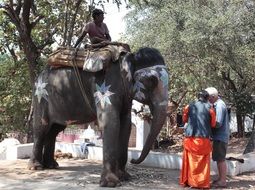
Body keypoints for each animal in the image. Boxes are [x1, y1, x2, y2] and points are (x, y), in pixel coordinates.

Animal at [28, 46, 169, 187]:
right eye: (151, 81)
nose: (133, 160)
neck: (128, 58)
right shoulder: (105, 88)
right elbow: (111, 122)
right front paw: (110, 183)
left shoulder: (125, 95)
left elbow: (126, 125)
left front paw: (125, 177)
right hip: (40, 97)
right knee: (41, 128)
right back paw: (36, 167)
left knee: (54, 130)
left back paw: (52, 165)